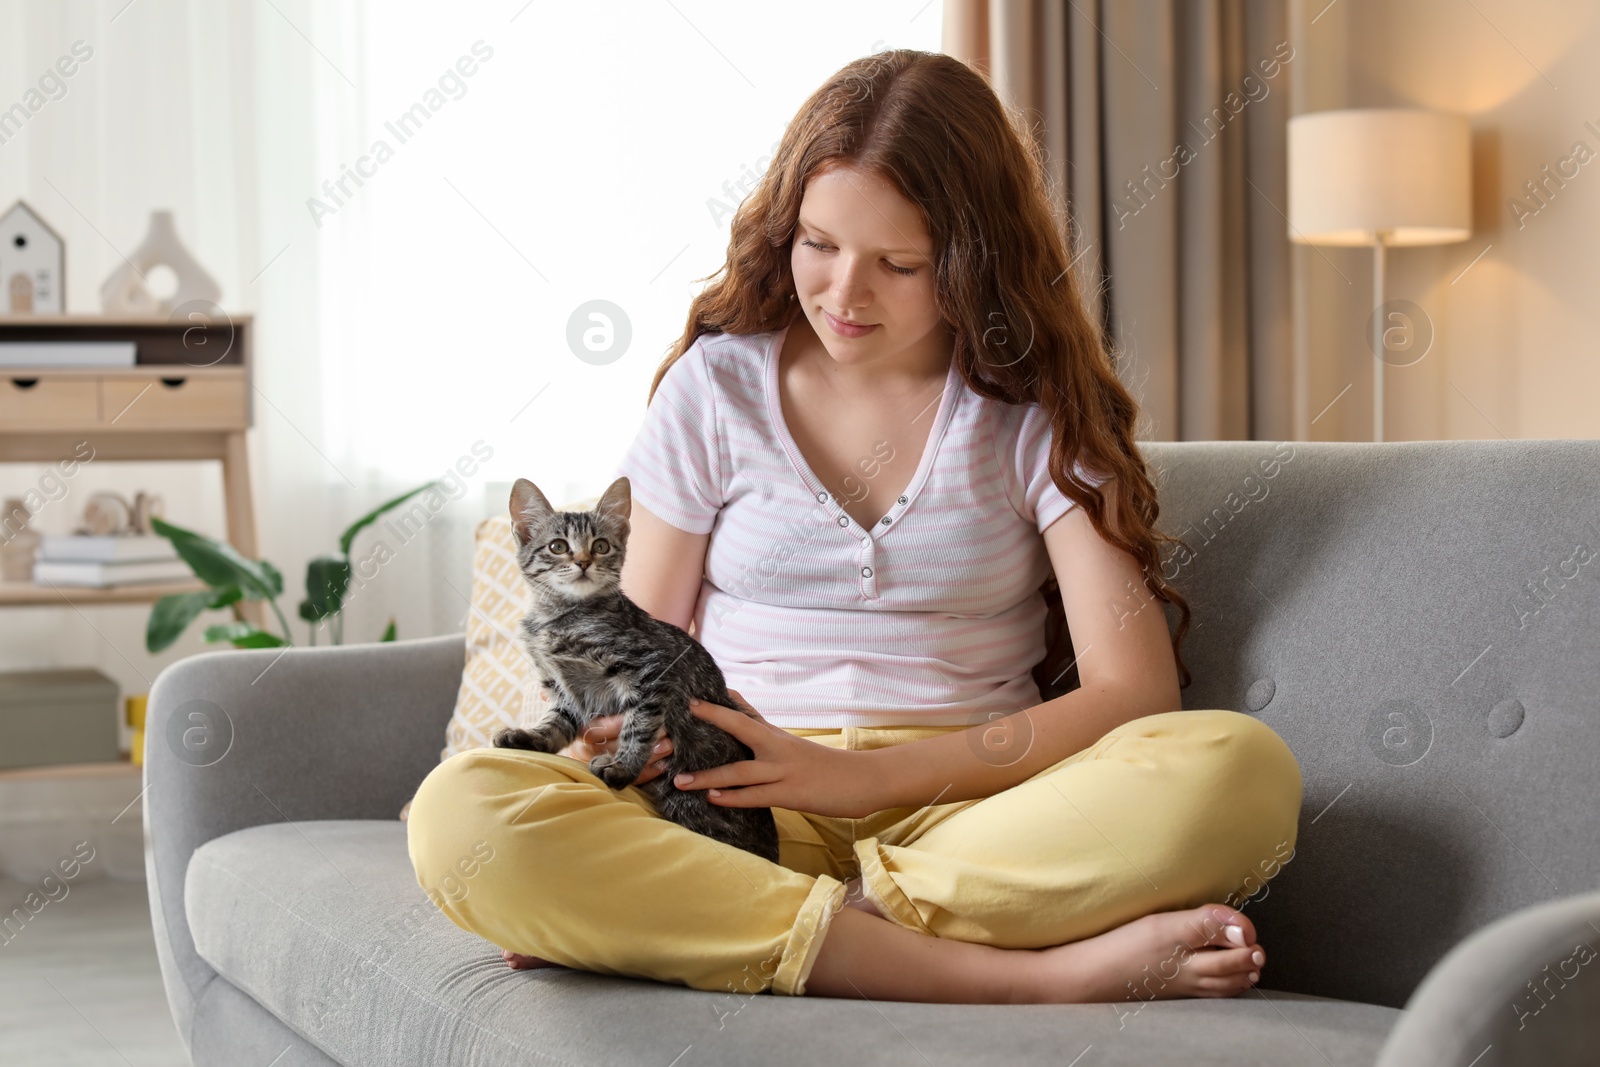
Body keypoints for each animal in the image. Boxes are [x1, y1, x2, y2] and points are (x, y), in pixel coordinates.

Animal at [492, 476, 780, 870]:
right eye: (557, 546)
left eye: (600, 546)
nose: (583, 562)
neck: (561, 617)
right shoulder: (564, 691)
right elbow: (555, 724)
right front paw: (529, 737)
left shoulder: (651, 668)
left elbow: (638, 726)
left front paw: (623, 765)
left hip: (691, 801)